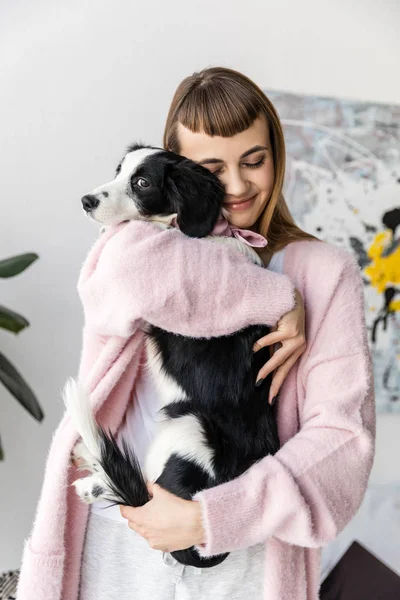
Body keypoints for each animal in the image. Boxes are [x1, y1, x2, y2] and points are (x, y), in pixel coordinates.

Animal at [64, 144, 280, 568]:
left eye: (142, 183)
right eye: (119, 171)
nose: (86, 201)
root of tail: (204, 550)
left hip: (189, 427)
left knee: (141, 491)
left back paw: (92, 477)